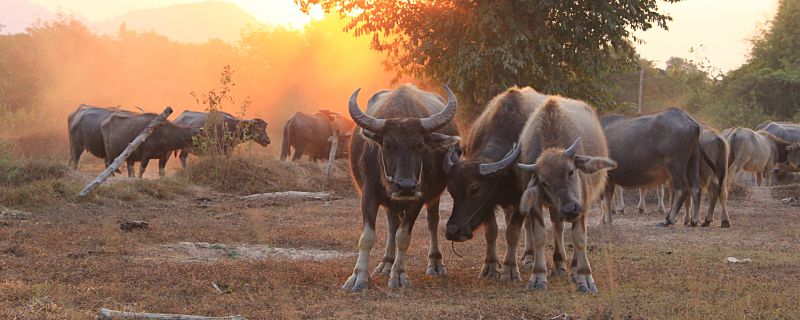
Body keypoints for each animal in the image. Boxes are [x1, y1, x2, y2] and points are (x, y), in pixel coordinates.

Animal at [342, 84, 460, 292]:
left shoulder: (418, 197)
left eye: (420, 144)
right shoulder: (369, 194)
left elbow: (403, 236)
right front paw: (358, 277)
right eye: (388, 145)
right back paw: (386, 263)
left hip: (433, 196)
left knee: (432, 222)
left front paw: (398, 275)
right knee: (392, 224)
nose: (405, 186)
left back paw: (435, 262)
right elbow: (367, 236)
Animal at [440, 86, 540, 282]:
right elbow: (491, 231)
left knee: (529, 224)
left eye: (475, 189)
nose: (453, 231)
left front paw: (510, 269)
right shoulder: (488, 203)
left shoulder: (520, 199)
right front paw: (491, 266)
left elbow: (512, 232)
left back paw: (530, 257)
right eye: (451, 190)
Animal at [516, 97, 616, 292]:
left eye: (570, 171)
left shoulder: (582, 202)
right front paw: (538, 275)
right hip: (556, 208)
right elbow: (539, 235)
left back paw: (574, 268)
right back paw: (559, 264)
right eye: (544, 183)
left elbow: (579, 238)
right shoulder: (537, 204)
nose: (570, 209)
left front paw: (585, 277)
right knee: (557, 226)